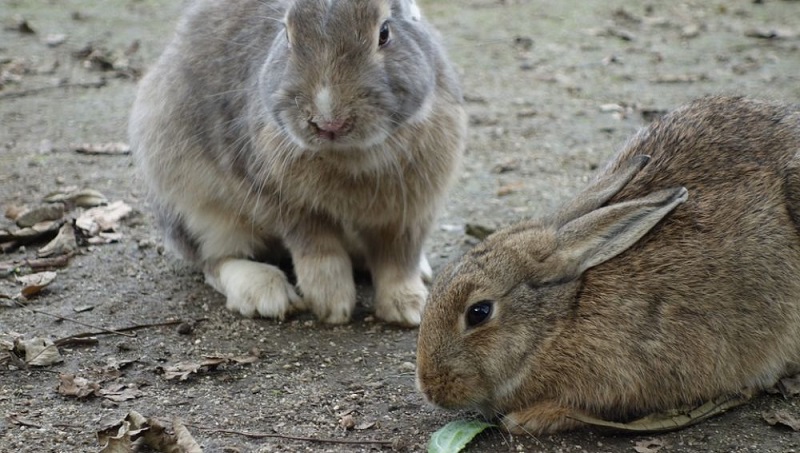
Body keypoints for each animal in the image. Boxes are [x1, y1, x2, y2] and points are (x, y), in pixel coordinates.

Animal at [130, 0, 466, 324]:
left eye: (384, 33)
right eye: (288, 33)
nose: (329, 122)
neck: (349, 154)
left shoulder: (410, 212)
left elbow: (399, 259)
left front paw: (409, 309)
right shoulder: (289, 205)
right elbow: (318, 252)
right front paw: (332, 305)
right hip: (196, 209)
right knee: (215, 260)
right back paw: (266, 293)